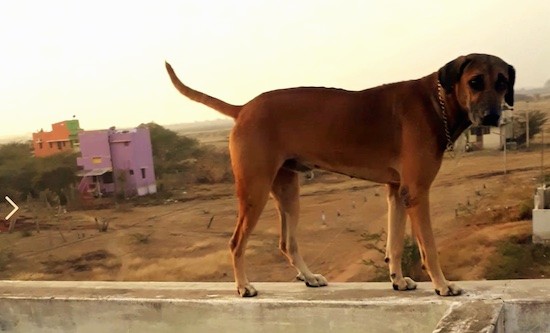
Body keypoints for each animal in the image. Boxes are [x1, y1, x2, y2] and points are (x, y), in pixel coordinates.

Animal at [167, 53, 516, 296]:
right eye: (475, 81)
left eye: (502, 82)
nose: (492, 116)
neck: (437, 101)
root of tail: (242, 109)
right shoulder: (417, 191)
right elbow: (429, 246)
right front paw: (443, 285)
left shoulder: (397, 191)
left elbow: (394, 243)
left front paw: (398, 280)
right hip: (254, 189)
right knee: (236, 242)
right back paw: (243, 286)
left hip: (287, 190)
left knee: (287, 242)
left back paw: (309, 278)